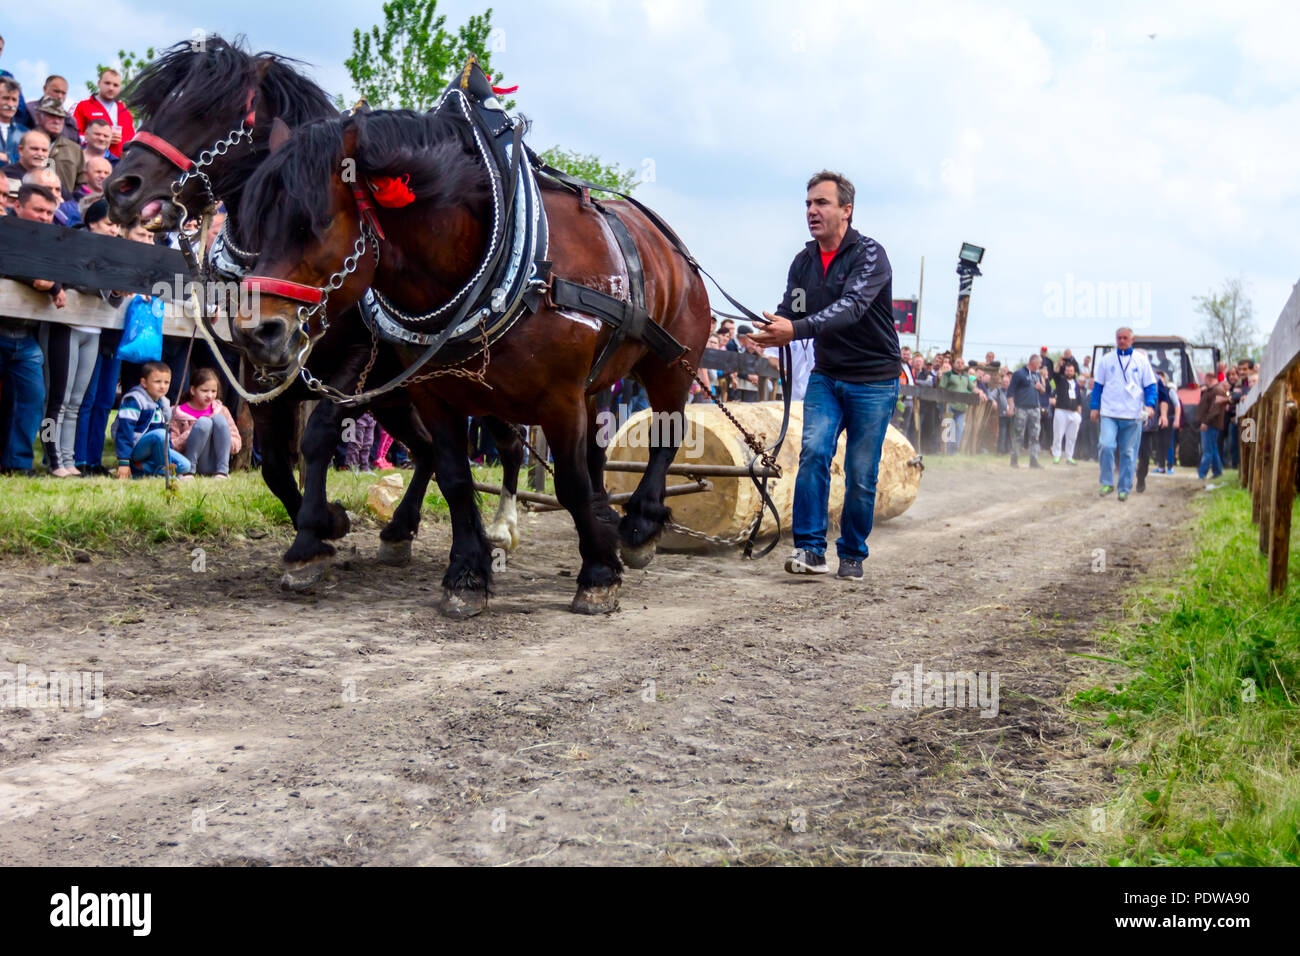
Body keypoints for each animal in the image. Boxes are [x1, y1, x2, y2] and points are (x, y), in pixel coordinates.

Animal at [102, 37, 527, 587]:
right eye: (157, 105)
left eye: (207, 109)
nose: (120, 188)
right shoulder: (261, 367)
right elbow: (274, 463)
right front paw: (327, 521)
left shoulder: (353, 364)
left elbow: (318, 436)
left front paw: (312, 535)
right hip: (396, 401)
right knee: (429, 448)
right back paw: (400, 529)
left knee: (509, 442)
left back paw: (500, 528)